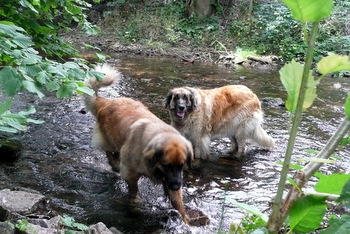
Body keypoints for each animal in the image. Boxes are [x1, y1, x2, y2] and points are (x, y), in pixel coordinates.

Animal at [84, 63, 194, 223]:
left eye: (181, 165)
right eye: (166, 165)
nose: (175, 186)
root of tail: (107, 101)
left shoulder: (172, 178)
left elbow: (179, 204)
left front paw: (186, 222)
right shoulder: (131, 173)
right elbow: (133, 191)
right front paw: (135, 205)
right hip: (110, 139)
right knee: (108, 151)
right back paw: (115, 165)